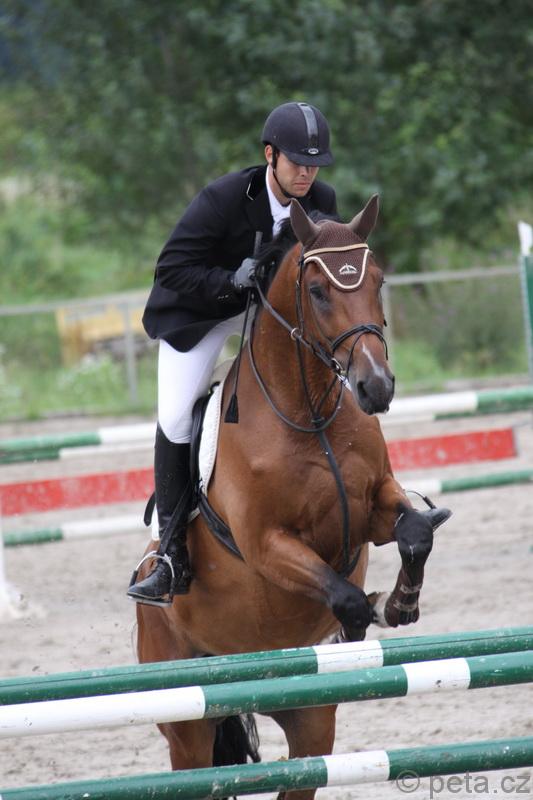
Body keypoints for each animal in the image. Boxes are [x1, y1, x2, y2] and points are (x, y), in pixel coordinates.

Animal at [136, 195, 448, 799]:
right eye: (320, 291)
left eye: (378, 280)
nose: (376, 388)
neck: (309, 414)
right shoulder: (267, 544)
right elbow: (344, 595)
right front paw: (363, 618)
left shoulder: (374, 507)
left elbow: (416, 532)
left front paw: (400, 603)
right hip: (186, 725)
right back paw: (162, 574)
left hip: (309, 726)